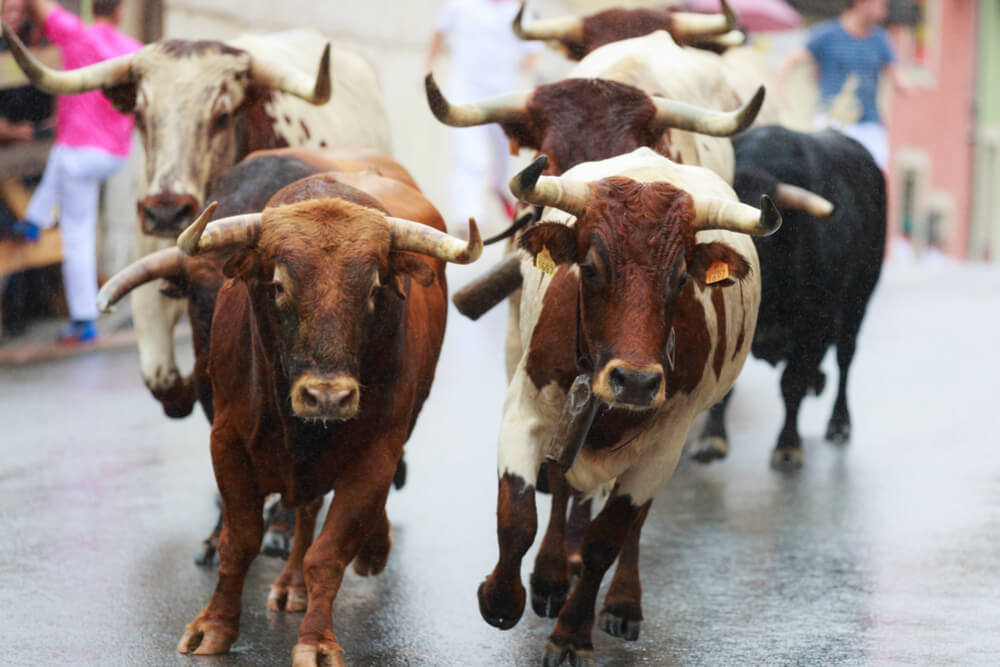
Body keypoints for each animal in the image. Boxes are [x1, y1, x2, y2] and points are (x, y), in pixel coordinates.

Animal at [157, 167, 480, 665]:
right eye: (278, 285)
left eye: (373, 289)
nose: (327, 397)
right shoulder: (226, 442)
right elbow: (239, 540)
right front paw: (212, 626)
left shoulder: (376, 454)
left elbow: (328, 554)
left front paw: (317, 641)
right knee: (305, 509)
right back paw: (291, 585)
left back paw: (368, 550)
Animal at [478, 147, 779, 665]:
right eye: (591, 267)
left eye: (680, 277)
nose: (636, 382)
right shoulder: (526, 407)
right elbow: (518, 515)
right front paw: (500, 599)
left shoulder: (665, 444)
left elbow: (606, 540)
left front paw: (571, 634)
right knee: (561, 486)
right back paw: (550, 577)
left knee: (633, 521)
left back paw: (622, 603)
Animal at [692, 126, 885, 470]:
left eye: (760, 240)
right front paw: (711, 440)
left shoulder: (812, 330)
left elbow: (791, 384)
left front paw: (788, 445)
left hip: (858, 305)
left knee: (845, 357)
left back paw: (839, 422)